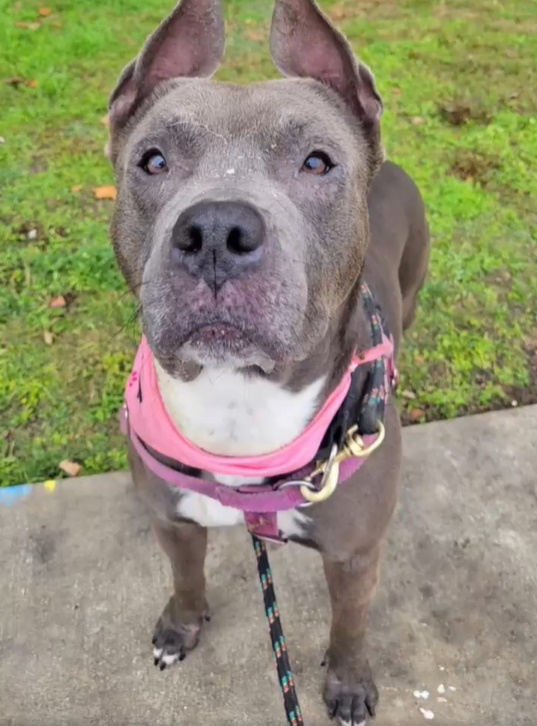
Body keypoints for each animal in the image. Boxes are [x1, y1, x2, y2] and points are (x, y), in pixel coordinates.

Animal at [107, 0, 430, 724]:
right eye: (153, 160)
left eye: (317, 162)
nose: (215, 232)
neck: (238, 402)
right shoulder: (172, 520)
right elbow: (186, 576)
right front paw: (180, 626)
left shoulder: (354, 556)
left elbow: (349, 626)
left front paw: (347, 683)